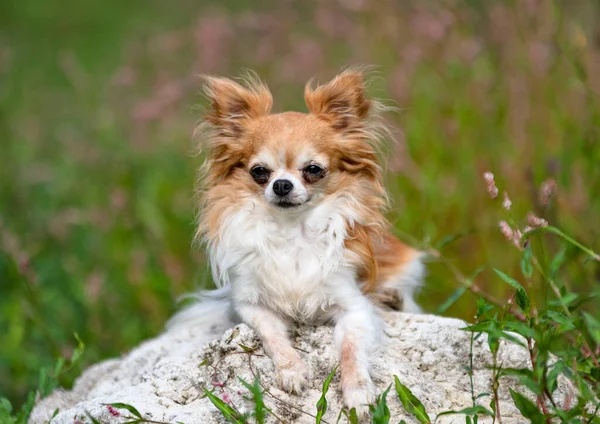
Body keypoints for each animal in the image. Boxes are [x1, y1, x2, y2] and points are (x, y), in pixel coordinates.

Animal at [166, 68, 424, 416]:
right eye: (259, 172)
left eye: (313, 170)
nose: (282, 185)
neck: (292, 231)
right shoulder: (250, 305)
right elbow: (273, 336)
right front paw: (292, 371)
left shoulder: (354, 307)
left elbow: (351, 350)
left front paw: (357, 390)